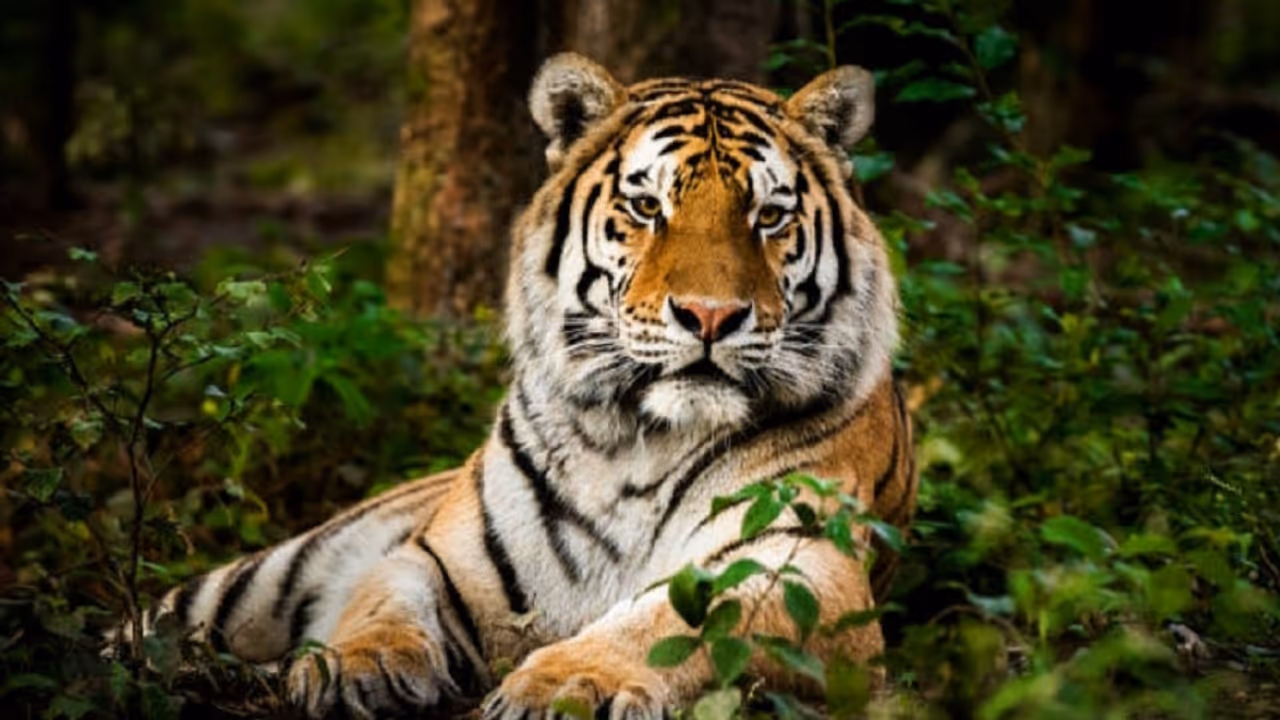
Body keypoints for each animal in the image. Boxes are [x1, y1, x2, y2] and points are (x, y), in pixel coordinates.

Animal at [123, 53, 917, 719]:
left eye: (769, 216)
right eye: (647, 208)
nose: (711, 317)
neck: (640, 441)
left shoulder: (801, 563)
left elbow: (671, 622)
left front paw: (568, 684)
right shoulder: (438, 556)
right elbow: (382, 601)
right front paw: (352, 666)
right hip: (263, 578)